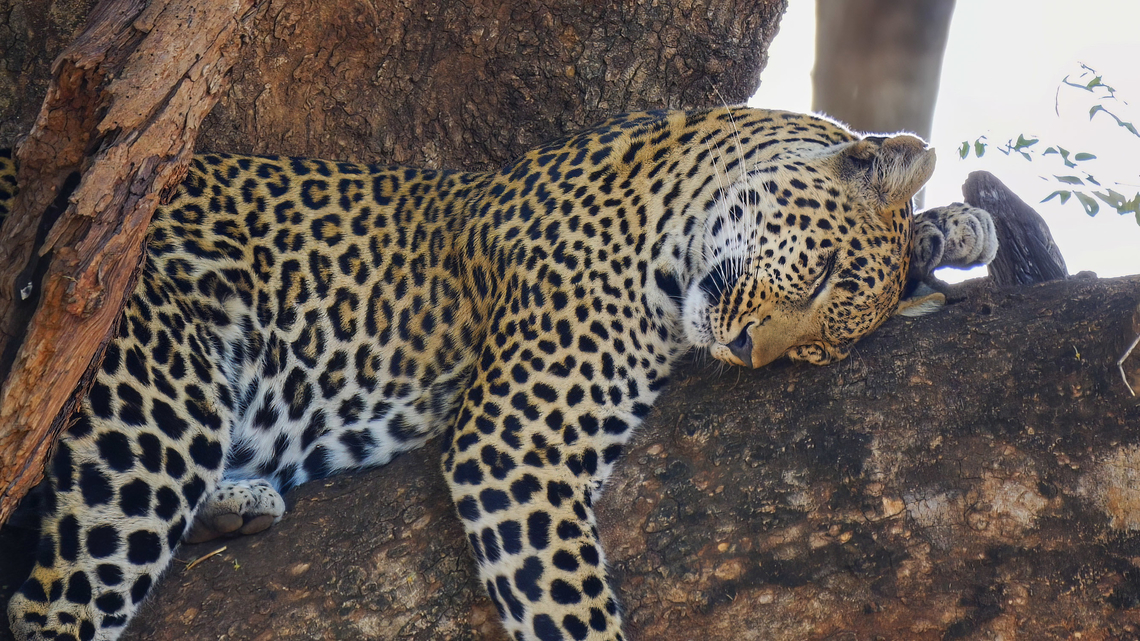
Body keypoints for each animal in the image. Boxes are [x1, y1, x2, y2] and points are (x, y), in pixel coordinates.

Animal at [3, 107, 996, 641]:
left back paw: (238, 501)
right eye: (819, 272)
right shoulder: (516, 447)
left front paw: (957, 228)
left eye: (819, 351)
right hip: (151, 386)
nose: (752, 351)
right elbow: (574, 611)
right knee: (46, 607)